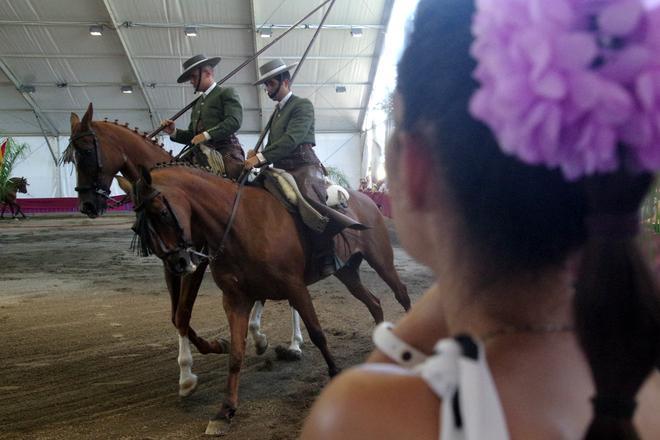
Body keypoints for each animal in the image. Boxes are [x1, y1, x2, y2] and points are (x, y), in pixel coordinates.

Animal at [64, 103, 410, 396]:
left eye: (86, 151)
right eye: (139, 227)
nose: (87, 205)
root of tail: (365, 198)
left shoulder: (197, 262)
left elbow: (185, 312)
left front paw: (197, 367)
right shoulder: (176, 264)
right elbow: (177, 316)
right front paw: (202, 360)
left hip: (379, 261)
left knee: (399, 293)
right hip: (346, 269)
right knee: (367, 300)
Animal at [117, 163, 408, 434]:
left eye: (162, 213)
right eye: (136, 227)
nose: (178, 263)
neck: (239, 223)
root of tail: (367, 199)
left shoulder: (295, 287)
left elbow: (317, 333)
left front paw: (334, 373)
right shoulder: (236, 300)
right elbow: (235, 353)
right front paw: (225, 410)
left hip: (381, 261)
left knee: (401, 294)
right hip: (347, 272)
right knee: (374, 302)